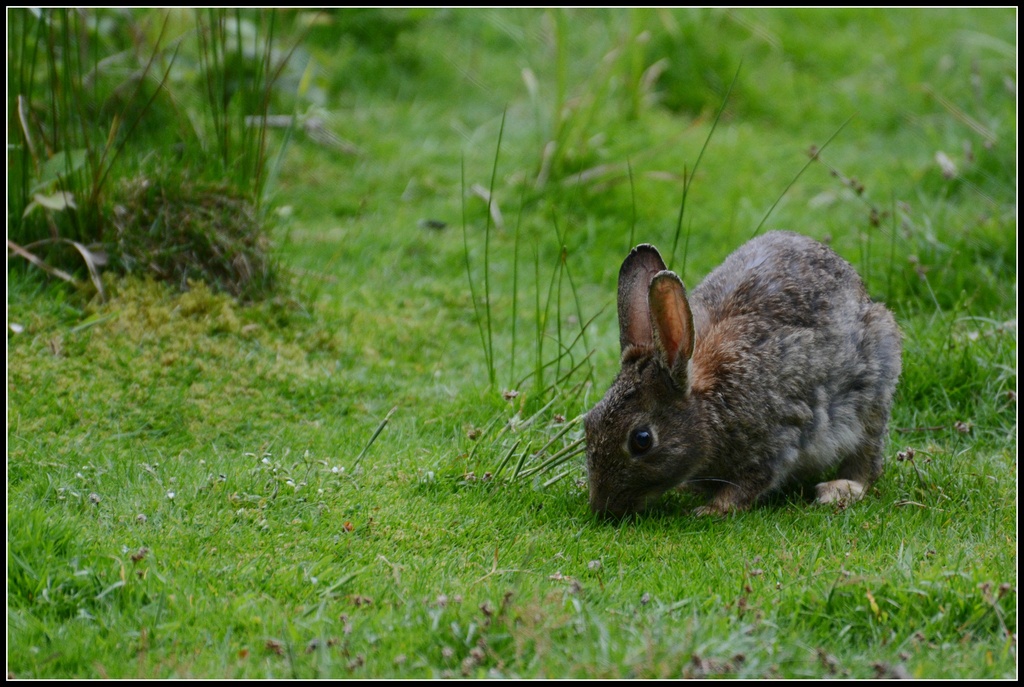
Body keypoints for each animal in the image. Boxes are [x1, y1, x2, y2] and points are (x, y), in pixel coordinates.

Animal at [589, 231, 901, 516]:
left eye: (641, 440)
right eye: (590, 420)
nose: (602, 508)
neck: (709, 406)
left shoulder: (776, 439)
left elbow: (749, 483)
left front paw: (711, 509)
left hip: (873, 389)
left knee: (867, 456)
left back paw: (840, 489)